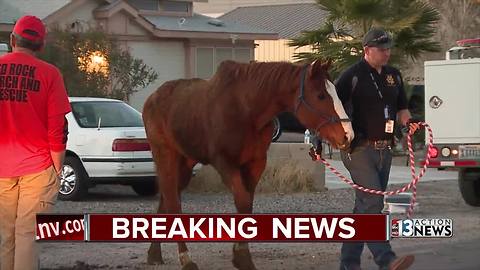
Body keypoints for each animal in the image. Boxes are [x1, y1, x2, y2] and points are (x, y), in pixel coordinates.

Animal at [142, 59, 352, 270]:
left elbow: (247, 205)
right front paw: (242, 256)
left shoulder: (255, 163)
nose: (347, 135)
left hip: (186, 162)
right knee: (172, 201)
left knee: (167, 197)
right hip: (166, 155)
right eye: (321, 95)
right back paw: (186, 259)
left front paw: (241, 256)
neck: (246, 110)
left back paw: (154, 254)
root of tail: (151, 99)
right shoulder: (225, 162)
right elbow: (242, 201)